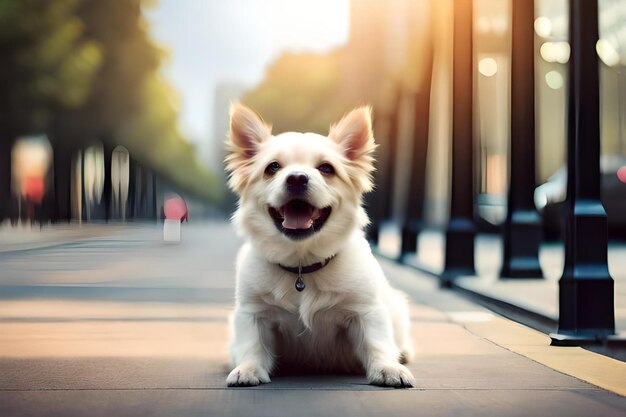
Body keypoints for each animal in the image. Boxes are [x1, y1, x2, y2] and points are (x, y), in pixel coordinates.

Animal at [224, 103, 414, 386]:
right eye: (272, 167)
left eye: (326, 168)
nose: (297, 178)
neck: (302, 266)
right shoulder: (253, 313)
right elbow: (252, 344)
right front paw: (248, 368)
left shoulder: (366, 312)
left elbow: (376, 342)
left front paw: (387, 368)